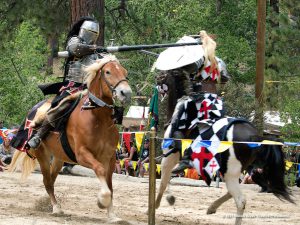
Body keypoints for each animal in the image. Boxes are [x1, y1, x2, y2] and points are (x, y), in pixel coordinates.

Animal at [9, 55, 131, 221]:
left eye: (125, 72)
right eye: (108, 72)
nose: (126, 93)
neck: (97, 118)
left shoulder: (109, 158)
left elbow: (109, 184)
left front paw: (112, 215)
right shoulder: (82, 155)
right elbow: (99, 171)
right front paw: (102, 201)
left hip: (59, 158)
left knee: (52, 180)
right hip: (43, 156)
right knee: (47, 181)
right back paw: (56, 208)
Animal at [155, 69, 292, 225]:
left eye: (165, 75)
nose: (157, 78)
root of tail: (256, 137)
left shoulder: (169, 157)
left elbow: (163, 181)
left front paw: (157, 205)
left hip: (230, 172)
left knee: (240, 201)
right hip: (233, 170)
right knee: (234, 191)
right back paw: (212, 207)